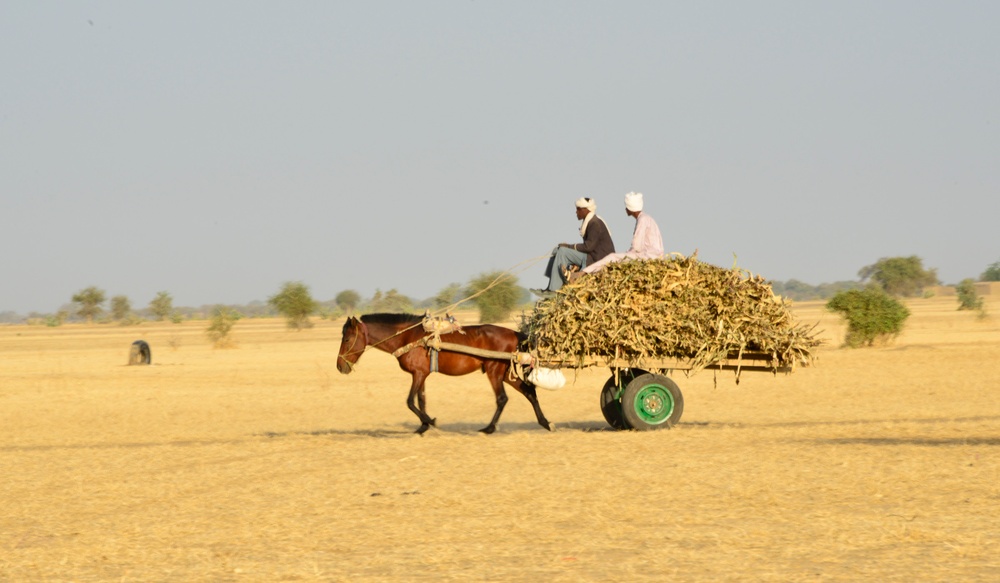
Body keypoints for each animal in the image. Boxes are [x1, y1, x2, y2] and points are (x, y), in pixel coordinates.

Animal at [338, 314, 556, 434]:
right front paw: (423, 426)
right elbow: (421, 400)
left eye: (347, 339)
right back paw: (545, 423)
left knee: (502, 398)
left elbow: (410, 401)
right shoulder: (421, 375)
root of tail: (514, 333)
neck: (407, 337)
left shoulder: (418, 374)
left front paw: (429, 421)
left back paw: (489, 429)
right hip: (505, 372)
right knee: (529, 391)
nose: (340, 366)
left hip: (494, 370)